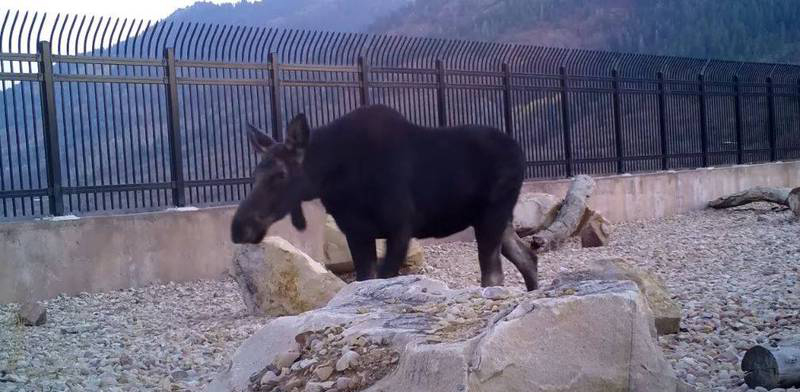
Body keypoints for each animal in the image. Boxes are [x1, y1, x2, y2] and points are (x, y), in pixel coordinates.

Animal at [233, 104, 544, 290]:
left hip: (492, 215)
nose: (238, 227)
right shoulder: (357, 233)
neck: (335, 178)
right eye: (254, 174)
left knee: (494, 277)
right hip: (495, 219)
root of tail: (520, 152)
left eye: (280, 175)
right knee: (527, 257)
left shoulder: (401, 228)